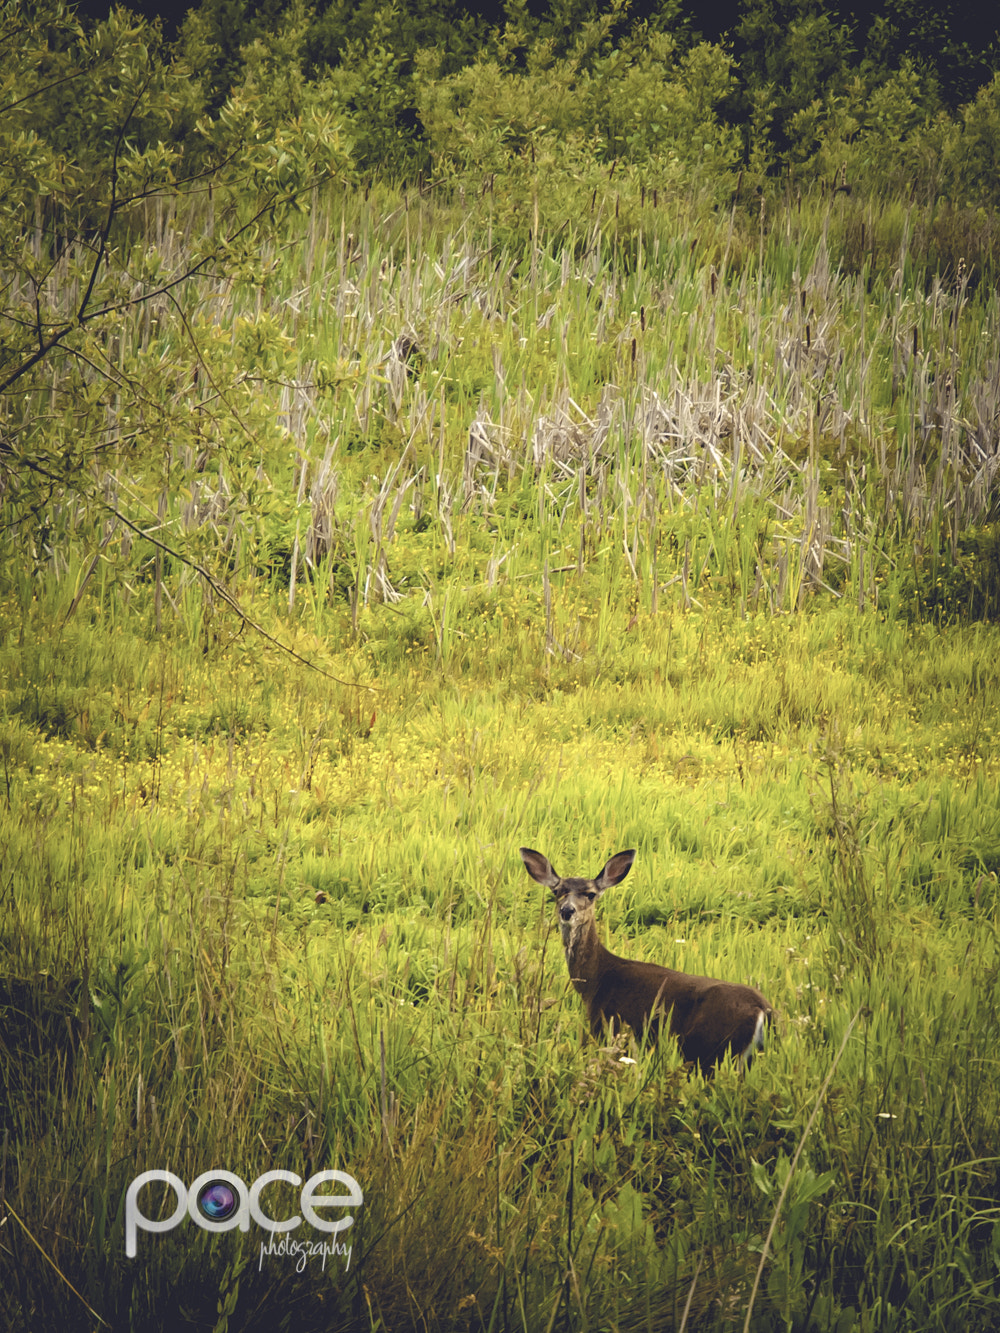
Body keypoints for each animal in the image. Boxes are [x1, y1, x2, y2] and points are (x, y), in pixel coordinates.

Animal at [520, 847, 778, 1077]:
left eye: (590, 894)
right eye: (557, 891)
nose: (567, 910)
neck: (596, 980)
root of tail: (764, 1009)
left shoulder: (607, 1025)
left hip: (711, 1049)